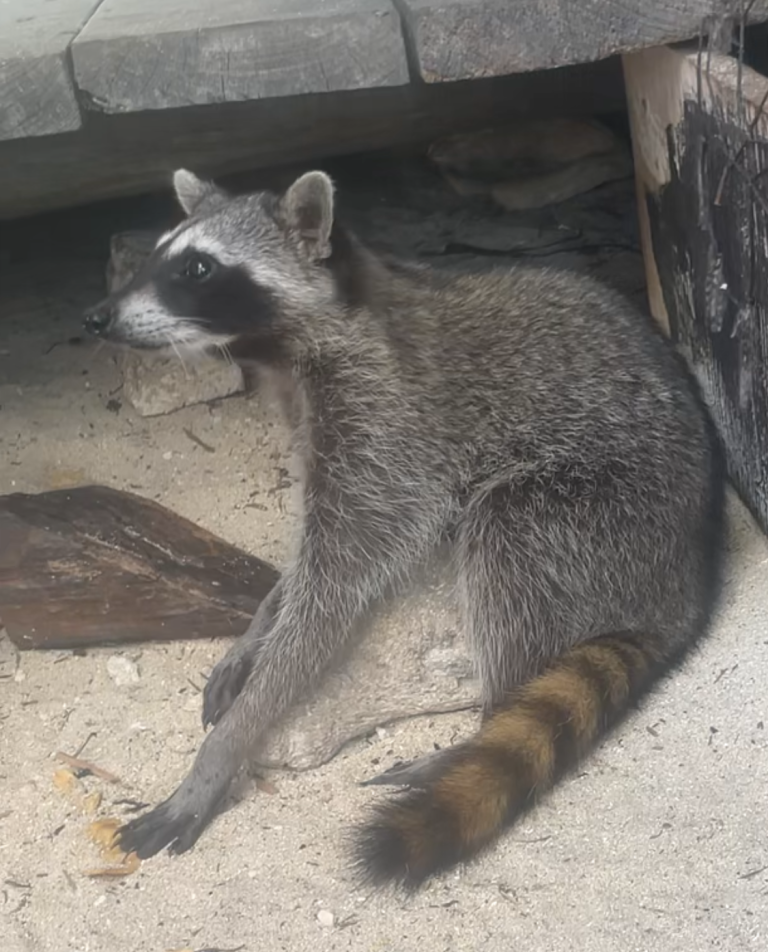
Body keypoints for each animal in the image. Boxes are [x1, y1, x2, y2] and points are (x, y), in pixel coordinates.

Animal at [83, 168, 725, 890]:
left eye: (197, 268)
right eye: (160, 253)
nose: (96, 316)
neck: (310, 337)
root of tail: (685, 584)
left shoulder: (387, 422)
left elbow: (335, 589)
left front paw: (225, 749)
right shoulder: (314, 418)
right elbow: (305, 561)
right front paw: (259, 625)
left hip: (605, 508)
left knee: (506, 538)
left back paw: (489, 720)